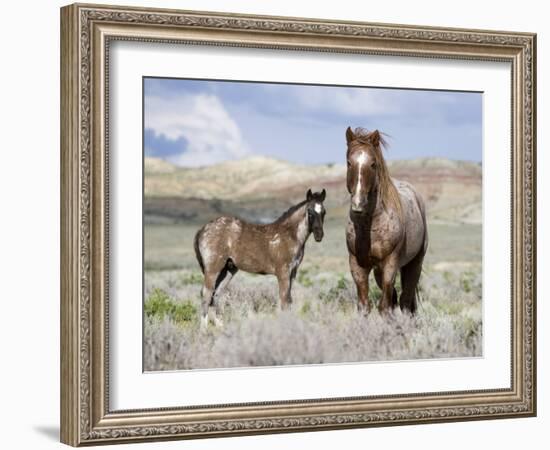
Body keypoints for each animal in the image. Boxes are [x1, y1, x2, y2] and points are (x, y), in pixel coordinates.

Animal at [344, 126, 432, 314]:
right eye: (349, 163)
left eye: (373, 164)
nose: (358, 205)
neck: (370, 227)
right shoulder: (357, 265)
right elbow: (365, 306)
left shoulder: (390, 264)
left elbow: (384, 306)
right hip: (379, 271)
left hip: (414, 264)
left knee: (405, 300)